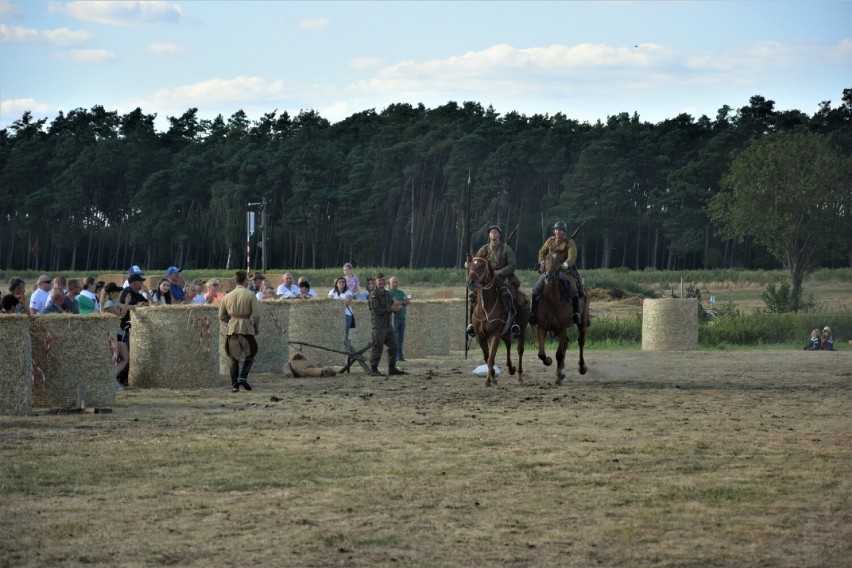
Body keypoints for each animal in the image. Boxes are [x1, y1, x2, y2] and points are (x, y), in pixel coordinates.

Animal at [466, 256, 524, 386]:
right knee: (508, 345)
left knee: (520, 351)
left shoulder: (495, 334)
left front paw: (488, 381)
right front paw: (493, 377)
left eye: (481, 266)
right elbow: (487, 357)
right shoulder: (480, 336)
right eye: (470, 265)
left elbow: (491, 358)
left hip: (521, 331)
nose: (471, 282)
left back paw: (519, 376)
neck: (485, 308)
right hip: (505, 333)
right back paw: (511, 369)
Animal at [536, 247, 588, 384]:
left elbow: (559, 353)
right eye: (547, 258)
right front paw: (549, 361)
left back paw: (581, 368)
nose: (549, 276)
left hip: (582, 322)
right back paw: (560, 370)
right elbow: (541, 353)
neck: (552, 300)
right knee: (567, 343)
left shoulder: (563, 328)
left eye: (560, 260)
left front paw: (558, 377)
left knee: (580, 341)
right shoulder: (542, 327)